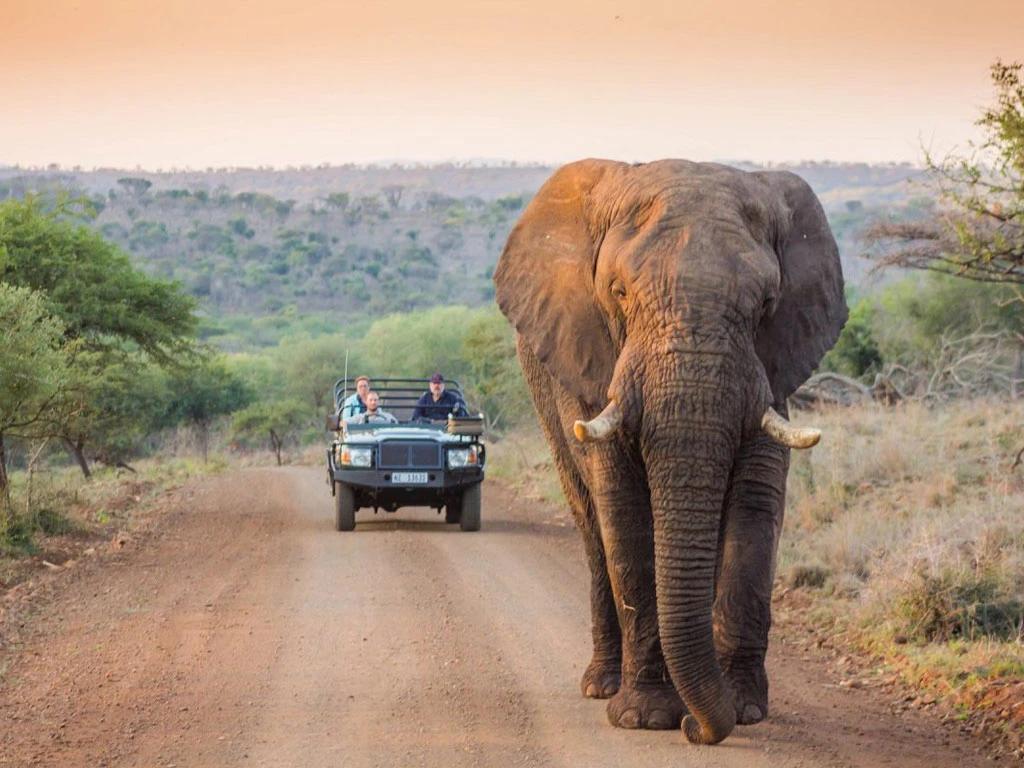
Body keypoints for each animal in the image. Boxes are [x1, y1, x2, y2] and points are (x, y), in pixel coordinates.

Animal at [493, 159, 846, 745]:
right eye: (618, 293)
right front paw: (647, 718)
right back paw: (603, 686)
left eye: (766, 304)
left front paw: (742, 710)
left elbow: (755, 509)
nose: (695, 730)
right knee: (592, 527)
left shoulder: (770, 372)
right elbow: (625, 514)